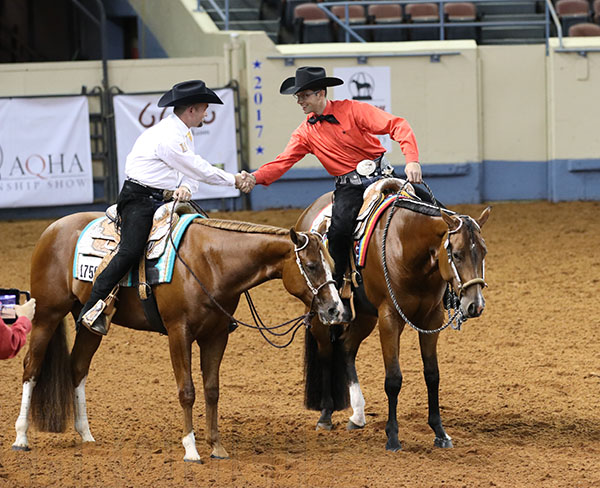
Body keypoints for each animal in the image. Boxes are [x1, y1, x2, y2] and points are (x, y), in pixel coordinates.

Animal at [11, 212, 344, 464]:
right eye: (311, 266)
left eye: (334, 265)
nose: (335, 309)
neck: (209, 262)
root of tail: (53, 229)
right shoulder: (178, 333)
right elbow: (187, 391)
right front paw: (191, 449)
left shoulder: (215, 336)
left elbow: (212, 390)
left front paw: (217, 447)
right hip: (47, 315)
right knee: (31, 368)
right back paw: (21, 437)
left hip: (91, 324)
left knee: (77, 367)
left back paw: (86, 434)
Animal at [294, 186, 488, 450]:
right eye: (457, 254)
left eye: (484, 252)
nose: (475, 305)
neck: (407, 246)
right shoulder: (389, 318)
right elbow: (393, 379)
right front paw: (393, 437)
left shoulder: (431, 319)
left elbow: (432, 375)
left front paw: (440, 432)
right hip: (322, 314)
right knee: (326, 354)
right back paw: (325, 415)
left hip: (365, 316)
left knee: (346, 348)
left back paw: (357, 415)